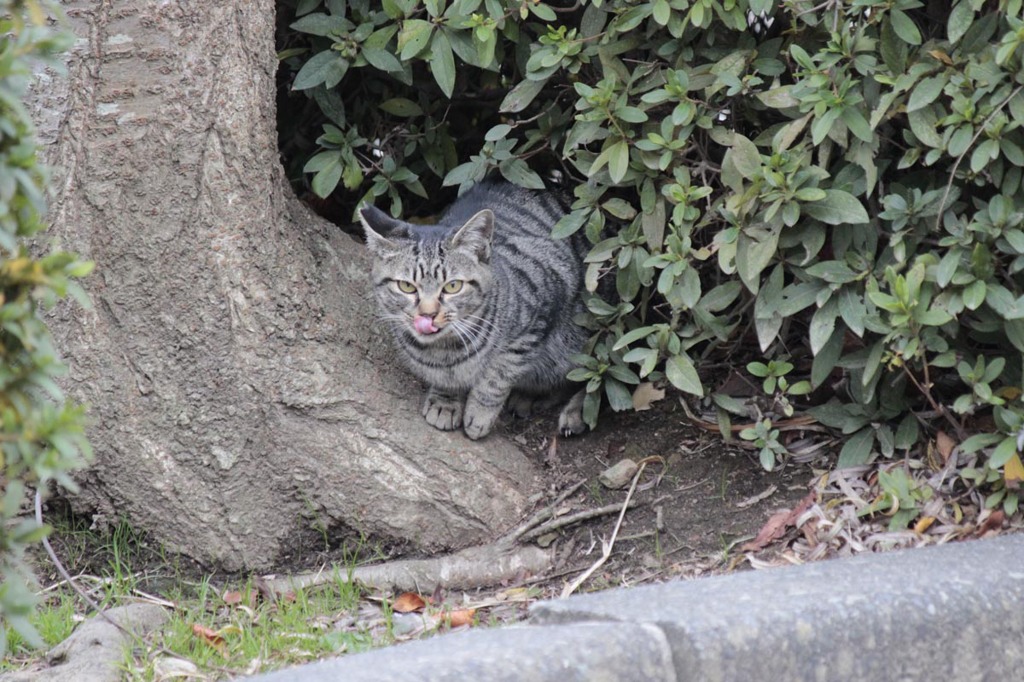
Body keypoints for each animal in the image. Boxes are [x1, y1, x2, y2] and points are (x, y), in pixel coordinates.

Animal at [358, 178, 585, 438]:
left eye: (453, 286)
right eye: (406, 286)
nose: (428, 314)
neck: (444, 350)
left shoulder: (539, 314)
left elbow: (497, 376)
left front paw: (480, 413)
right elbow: (446, 380)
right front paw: (445, 401)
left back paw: (573, 412)